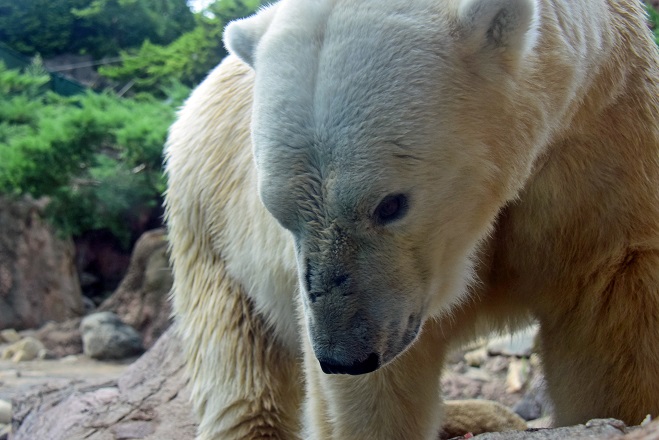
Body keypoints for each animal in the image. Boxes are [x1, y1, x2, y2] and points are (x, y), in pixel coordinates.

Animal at [165, 0, 659, 438]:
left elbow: (610, 319)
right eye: (281, 214)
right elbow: (375, 396)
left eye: (390, 204)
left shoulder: (600, 131)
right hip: (208, 227)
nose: (345, 356)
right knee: (240, 368)